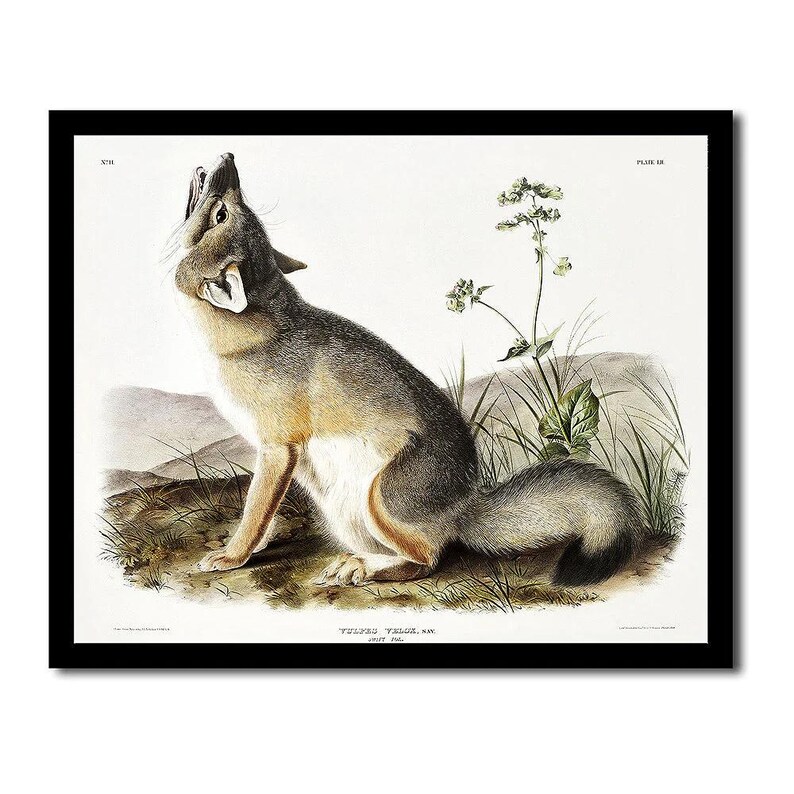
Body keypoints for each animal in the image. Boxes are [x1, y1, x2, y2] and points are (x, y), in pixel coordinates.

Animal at [174, 152, 646, 587]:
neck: (259, 327)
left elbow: (255, 511)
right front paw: (252, 547)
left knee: (427, 558)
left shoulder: (276, 449)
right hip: (342, 508)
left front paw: (232, 556)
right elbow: (264, 515)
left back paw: (362, 567)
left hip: (379, 499)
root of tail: (464, 507)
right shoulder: (276, 456)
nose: (229, 158)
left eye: (223, 213)